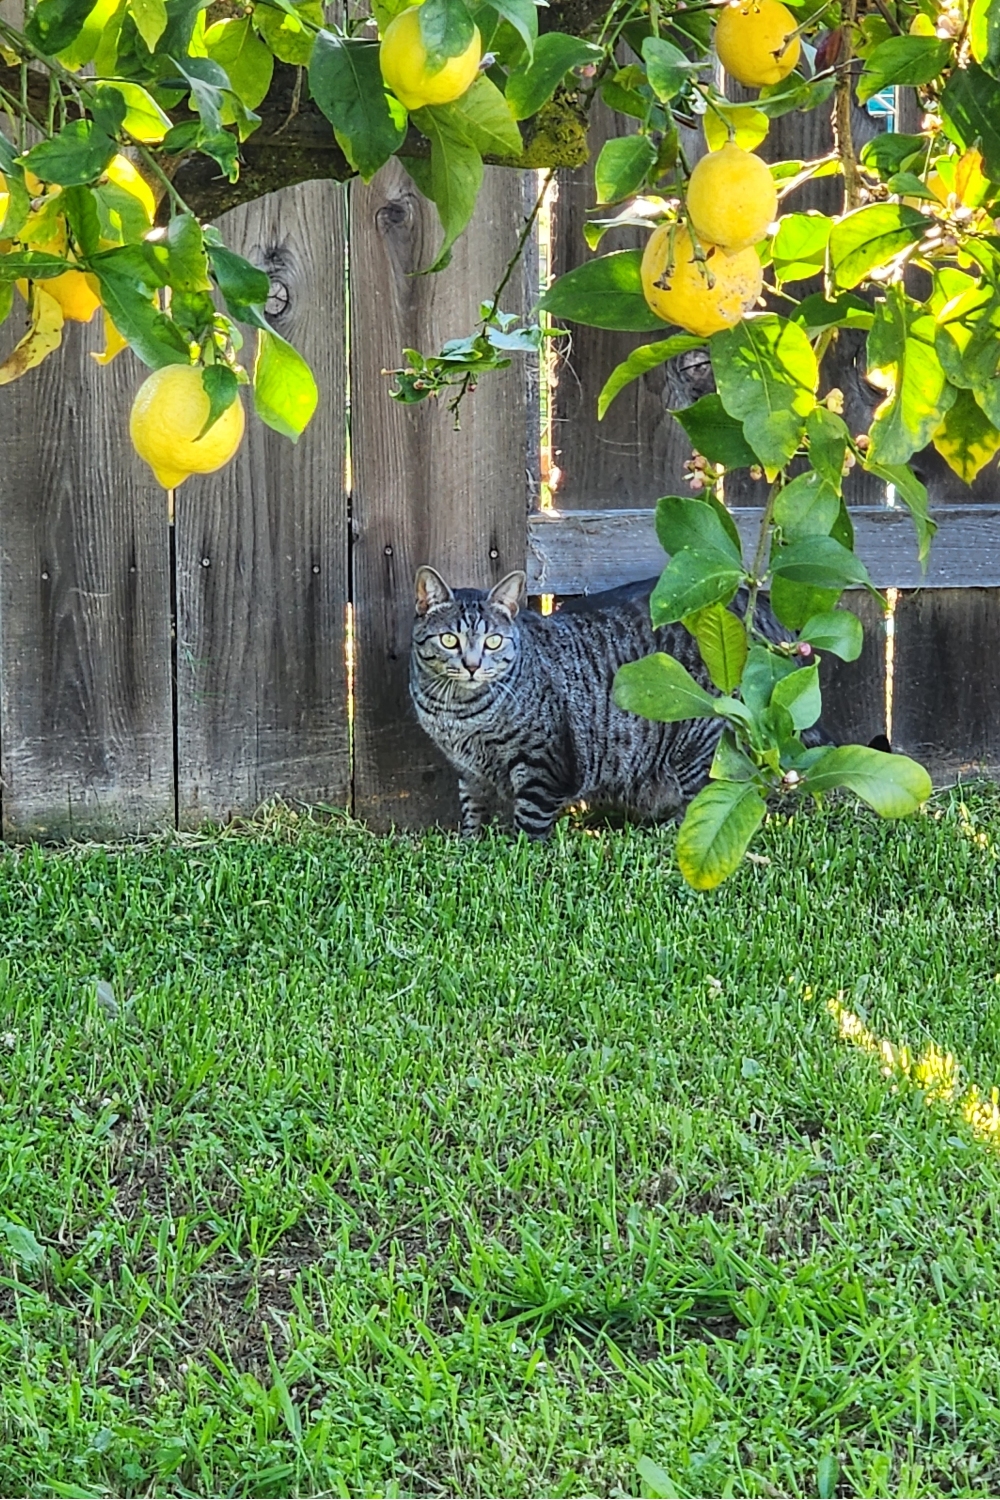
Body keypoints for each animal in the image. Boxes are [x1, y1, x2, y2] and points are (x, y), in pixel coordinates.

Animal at [413, 567, 827, 840]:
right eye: (449, 640)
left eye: (493, 642)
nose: (471, 665)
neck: (457, 713)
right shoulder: (468, 771)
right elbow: (472, 813)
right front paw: (469, 846)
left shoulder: (544, 767)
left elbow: (529, 825)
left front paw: (517, 856)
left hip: (702, 742)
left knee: (712, 800)